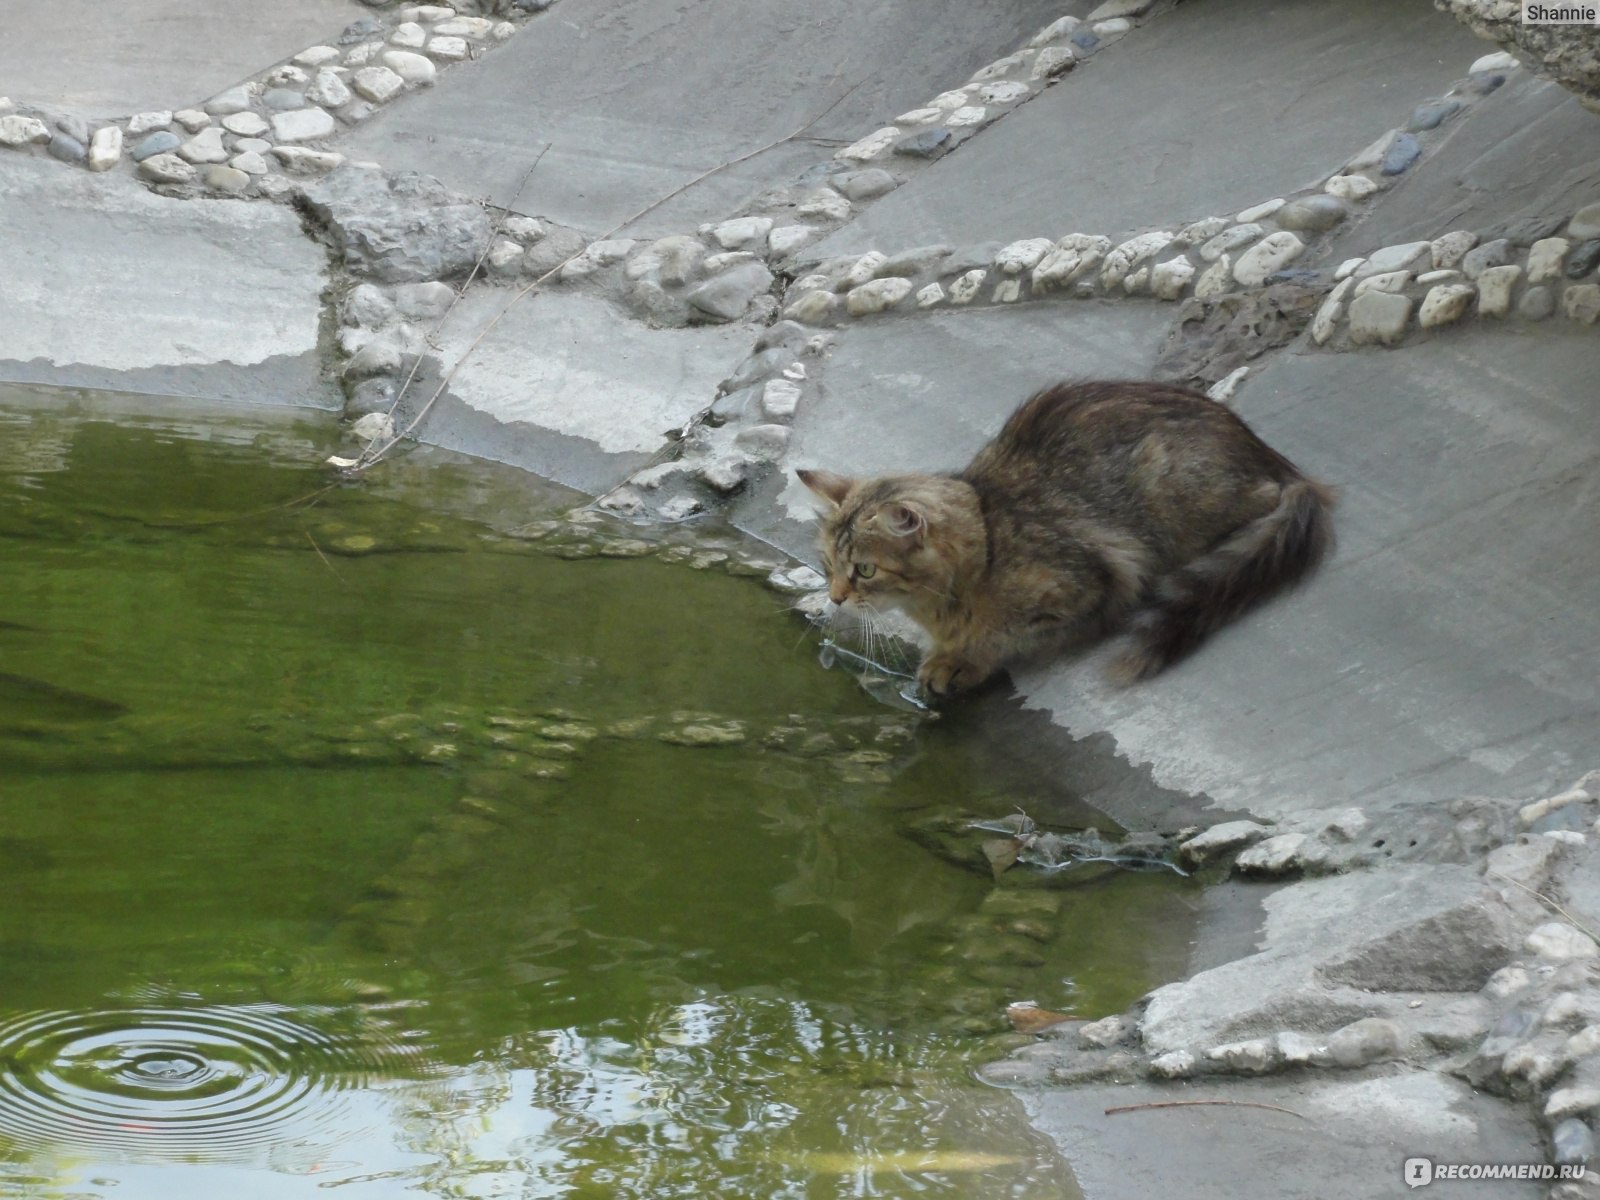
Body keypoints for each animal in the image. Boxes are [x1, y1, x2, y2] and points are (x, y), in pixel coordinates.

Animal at [800, 385, 1337, 700]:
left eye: (865, 570)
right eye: (827, 565)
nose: (836, 597)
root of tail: (1273, 459)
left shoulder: (1092, 586)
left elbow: (1006, 636)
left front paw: (960, 661)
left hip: (1179, 491)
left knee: (1263, 501)